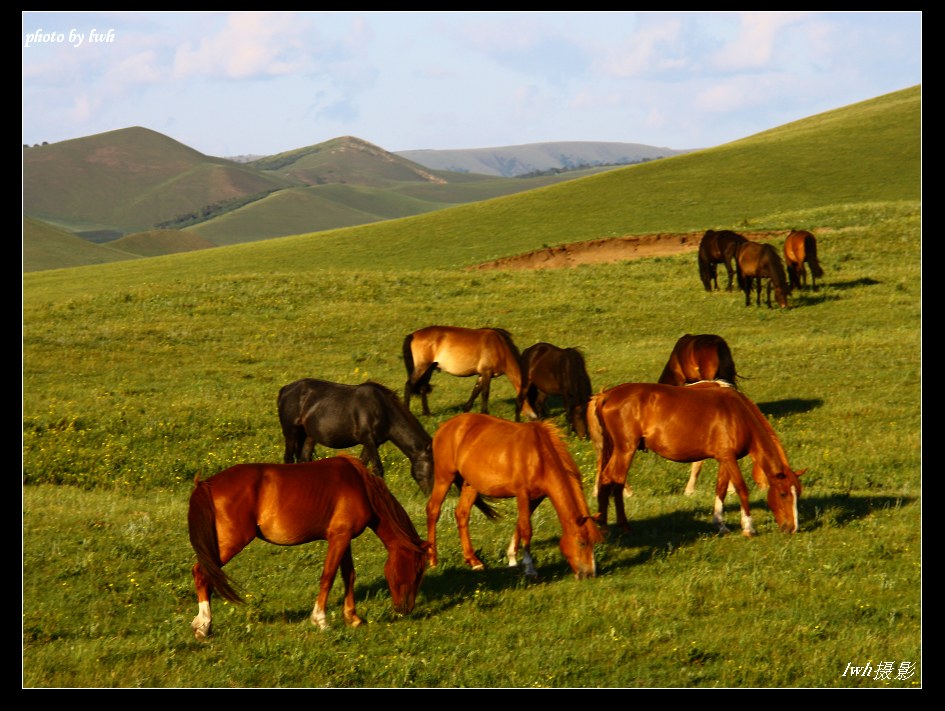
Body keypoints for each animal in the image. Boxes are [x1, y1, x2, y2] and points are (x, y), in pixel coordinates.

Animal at [186, 456, 430, 640]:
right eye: (417, 571)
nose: (406, 609)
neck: (360, 485)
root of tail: (206, 484)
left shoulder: (343, 538)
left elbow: (348, 575)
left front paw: (352, 618)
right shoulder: (339, 538)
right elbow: (328, 576)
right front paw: (321, 620)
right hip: (229, 544)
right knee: (201, 573)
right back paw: (204, 625)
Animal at [274, 378, 434, 496]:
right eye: (432, 468)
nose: (430, 495)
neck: (383, 410)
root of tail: (285, 389)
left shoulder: (373, 443)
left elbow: (362, 465)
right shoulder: (368, 440)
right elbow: (378, 469)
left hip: (308, 436)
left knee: (304, 460)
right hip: (291, 433)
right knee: (288, 459)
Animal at [402, 326, 540, 420]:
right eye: (528, 397)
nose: (534, 416)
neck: (499, 346)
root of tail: (413, 334)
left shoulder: (481, 374)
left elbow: (475, 392)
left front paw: (466, 410)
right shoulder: (486, 372)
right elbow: (485, 393)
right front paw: (485, 413)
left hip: (429, 368)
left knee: (423, 388)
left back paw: (428, 413)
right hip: (422, 366)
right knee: (409, 385)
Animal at [426, 412, 600, 580]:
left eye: (594, 542)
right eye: (582, 543)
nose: (589, 574)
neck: (538, 455)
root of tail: (445, 426)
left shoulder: (536, 497)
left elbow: (520, 524)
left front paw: (512, 558)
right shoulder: (522, 493)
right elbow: (526, 529)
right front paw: (530, 569)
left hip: (470, 484)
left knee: (461, 513)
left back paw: (474, 561)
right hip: (444, 478)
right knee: (433, 509)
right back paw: (433, 560)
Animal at [592, 384, 804, 540]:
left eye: (798, 494)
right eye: (783, 494)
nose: (793, 528)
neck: (739, 414)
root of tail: (607, 395)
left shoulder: (725, 459)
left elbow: (721, 489)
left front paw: (720, 524)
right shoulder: (728, 458)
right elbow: (742, 489)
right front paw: (748, 527)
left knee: (609, 481)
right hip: (625, 449)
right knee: (613, 479)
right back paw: (619, 526)